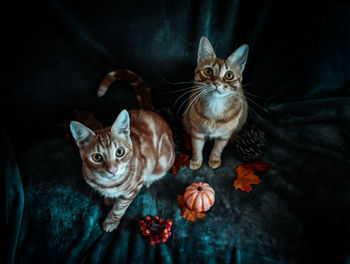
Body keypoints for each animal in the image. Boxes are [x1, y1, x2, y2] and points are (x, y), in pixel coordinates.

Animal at [69, 69, 175, 231]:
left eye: (119, 152)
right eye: (97, 157)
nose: (112, 170)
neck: (109, 184)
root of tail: (149, 111)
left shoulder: (134, 188)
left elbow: (120, 207)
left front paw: (111, 221)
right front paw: (109, 198)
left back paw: (150, 180)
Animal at [183, 36, 249, 170]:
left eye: (229, 75)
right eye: (208, 71)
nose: (217, 83)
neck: (215, 106)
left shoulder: (224, 136)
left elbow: (218, 149)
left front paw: (214, 159)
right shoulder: (197, 132)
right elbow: (197, 148)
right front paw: (196, 161)